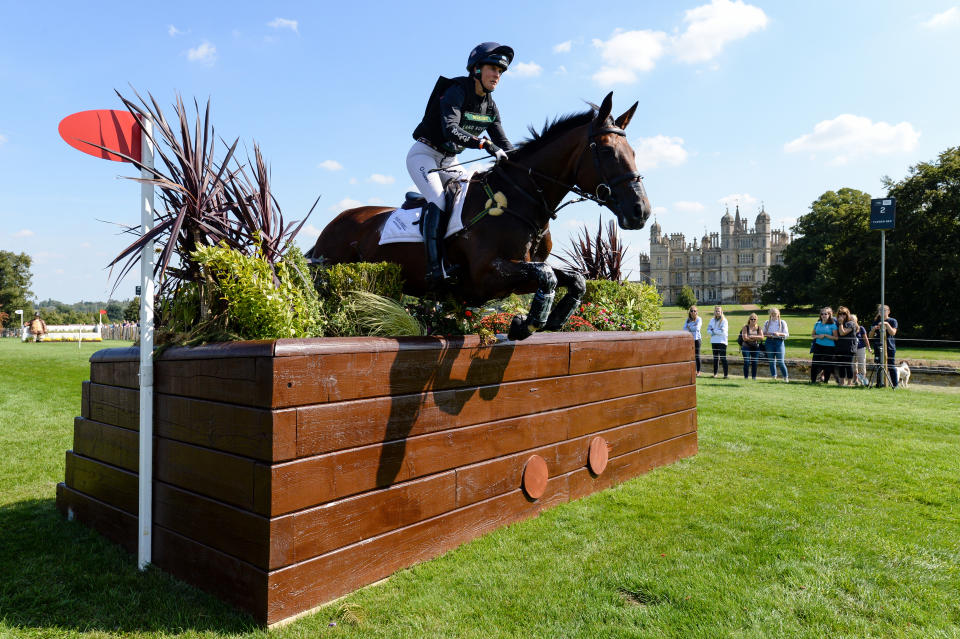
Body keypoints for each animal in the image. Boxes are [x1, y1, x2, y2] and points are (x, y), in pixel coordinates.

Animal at [308, 93, 652, 342]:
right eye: (606, 151)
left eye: (635, 152)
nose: (641, 211)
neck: (519, 198)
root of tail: (333, 224)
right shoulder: (487, 274)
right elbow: (547, 275)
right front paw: (526, 324)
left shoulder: (515, 277)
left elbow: (573, 279)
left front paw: (552, 318)